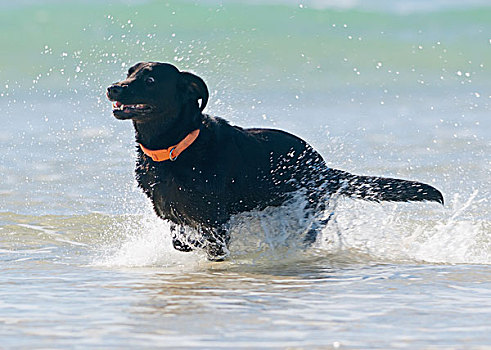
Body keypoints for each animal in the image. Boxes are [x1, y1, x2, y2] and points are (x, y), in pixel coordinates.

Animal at [105, 62, 444, 260]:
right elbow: (181, 241)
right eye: (129, 72)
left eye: (149, 79)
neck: (175, 148)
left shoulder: (215, 222)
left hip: (306, 213)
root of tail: (323, 168)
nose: (113, 87)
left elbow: (210, 244)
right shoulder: (173, 215)